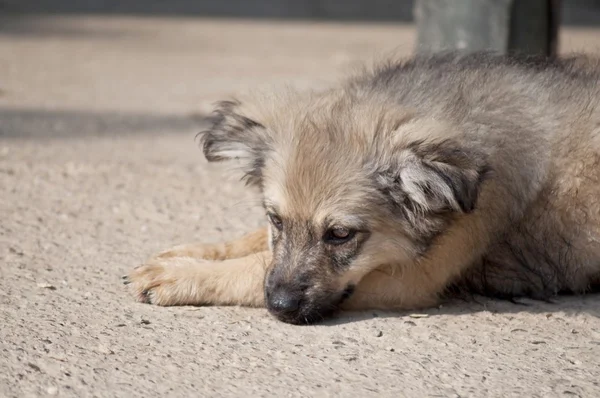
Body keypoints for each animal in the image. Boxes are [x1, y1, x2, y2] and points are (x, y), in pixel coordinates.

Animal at [124, 52, 600, 324]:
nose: (280, 307)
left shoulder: (412, 277)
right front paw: (192, 252)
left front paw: (183, 274)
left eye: (340, 234)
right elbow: (253, 244)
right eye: (275, 218)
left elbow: (251, 268)